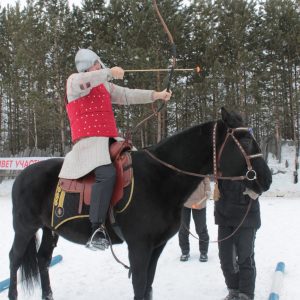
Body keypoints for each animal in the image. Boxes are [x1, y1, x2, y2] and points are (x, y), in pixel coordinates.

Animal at [8, 108, 272, 300]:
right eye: (246, 139)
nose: (266, 178)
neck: (159, 178)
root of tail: (22, 175)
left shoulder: (156, 247)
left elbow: (148, 286)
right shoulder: (139, 247)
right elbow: (140, 285)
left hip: (49, 229)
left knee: (42, 260)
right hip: (25, 228)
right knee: (15, 258)